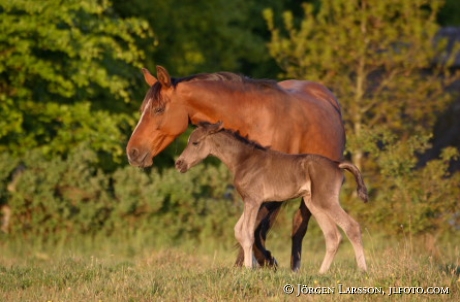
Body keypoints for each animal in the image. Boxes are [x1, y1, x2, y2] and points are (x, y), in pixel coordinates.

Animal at [126, 66, 344, 272]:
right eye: (142, 109)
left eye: (158, 109)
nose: (132, 152)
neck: (253, 117)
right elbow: (248, 228)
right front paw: (251, 264)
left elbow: (255, 228)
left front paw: (262, 262)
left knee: (300, 224)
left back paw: (295, 266)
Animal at [174, 122, 368, 272]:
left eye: (195, 143)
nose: (179, 164)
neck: (244, 160)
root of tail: (337, 164)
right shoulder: (250, 201)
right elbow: (239, 231)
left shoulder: (254, 201)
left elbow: (247, 233)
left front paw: (248, 269)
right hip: (313, 203)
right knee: (332, 236)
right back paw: (321, 273)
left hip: (326, 200)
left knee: (352, 227)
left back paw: (363, 270)